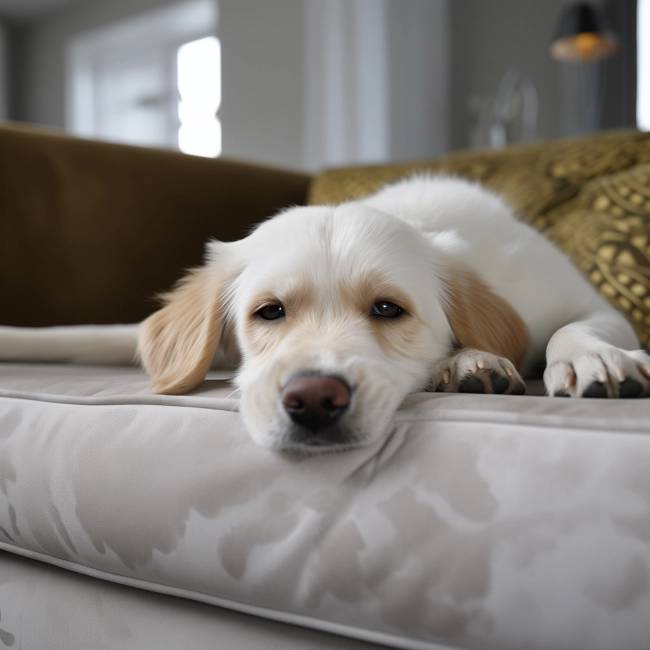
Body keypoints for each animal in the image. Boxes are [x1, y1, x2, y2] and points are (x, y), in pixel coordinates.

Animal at [1, 177, 648, 448]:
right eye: (269, 312)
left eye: (388, 308)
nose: (314, 399)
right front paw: (470, 361)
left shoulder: (586, 301)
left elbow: (575, 326)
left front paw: (593, 359)